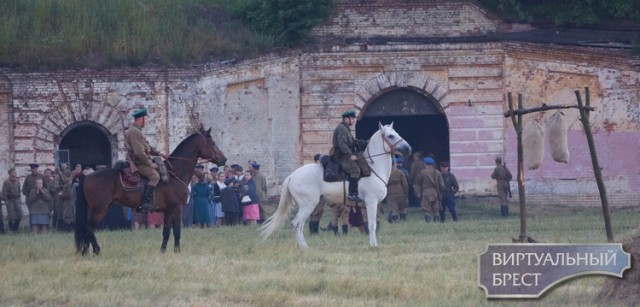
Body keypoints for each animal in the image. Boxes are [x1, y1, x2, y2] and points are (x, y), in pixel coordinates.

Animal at [75, 126, 226, 256]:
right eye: (212, 142)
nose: (224, 159)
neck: (174, 174)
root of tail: (87, 176)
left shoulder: (168, 210)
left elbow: (166, 231)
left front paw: (163, 251)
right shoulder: (177, 208)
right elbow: (177, 231)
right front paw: (177, 251)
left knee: (86, 229)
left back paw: (85, 252)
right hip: (99, 210)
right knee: (88, 228)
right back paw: (96, 250)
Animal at [258, 122, 410, 248]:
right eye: (391, 136)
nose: (408, 149)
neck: (373, 168)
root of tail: (291, 176)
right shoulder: (371, 202)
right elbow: (372, 225)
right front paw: (373, 245)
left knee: (299, 225)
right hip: (308, 205)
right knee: (297, 224)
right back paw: (304, 247)